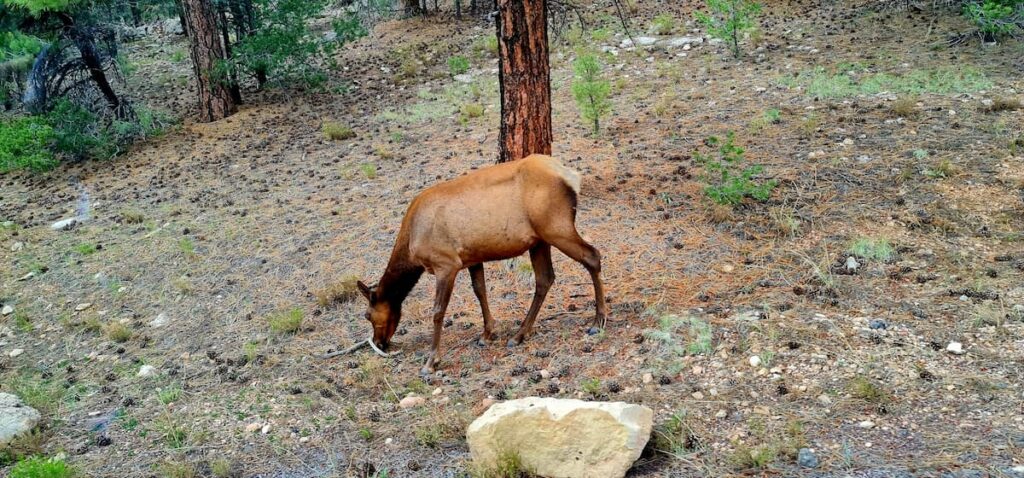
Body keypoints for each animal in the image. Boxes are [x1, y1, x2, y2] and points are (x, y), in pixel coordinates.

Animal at [356, 155, 606, 376]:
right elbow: (480, 292)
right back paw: (519, 334)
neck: (410, 247)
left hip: (556, 227)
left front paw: (431, 362)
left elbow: (438, 311)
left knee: (592, 256)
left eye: (368, 315)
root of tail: (572, 176)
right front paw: (487, 334)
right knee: (545, 278)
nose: (380, 342)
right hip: (539, 240)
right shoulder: (472, 259)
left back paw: (598, 321)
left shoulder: (446, 263)